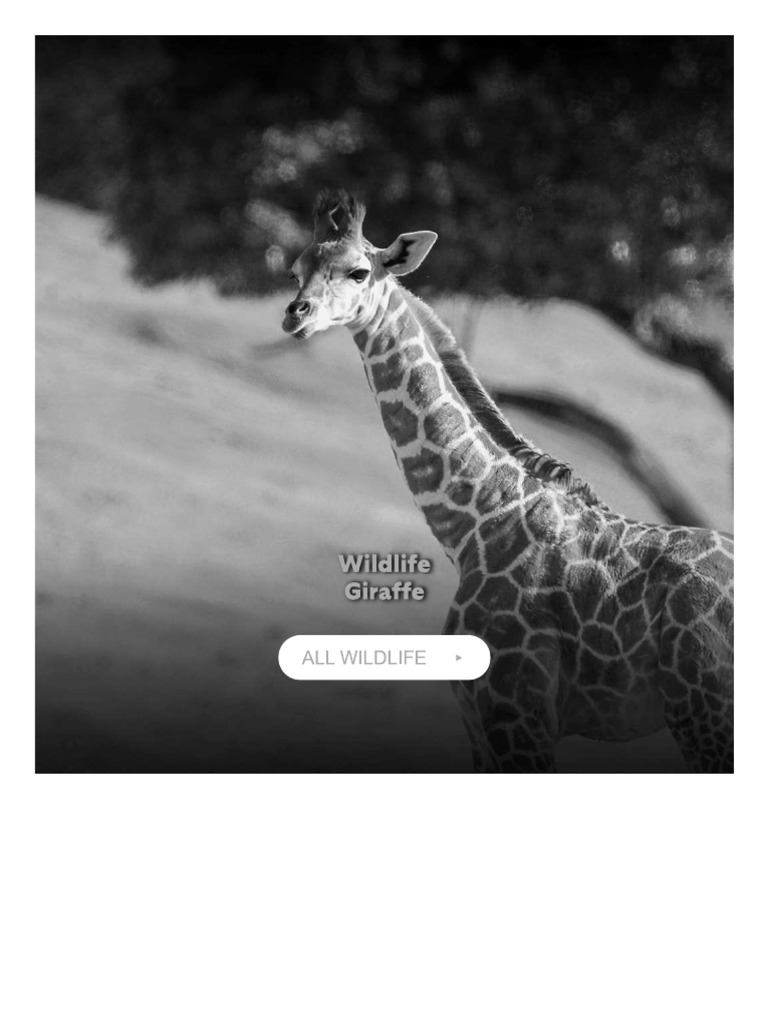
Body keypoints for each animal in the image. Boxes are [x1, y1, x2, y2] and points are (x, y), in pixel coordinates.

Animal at [282, 190, 734, 773]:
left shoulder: (517, 711)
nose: (295, 314)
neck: (474, 524)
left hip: (701, 708)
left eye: (359, 271)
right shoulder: (480, 721)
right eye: (295, 270)